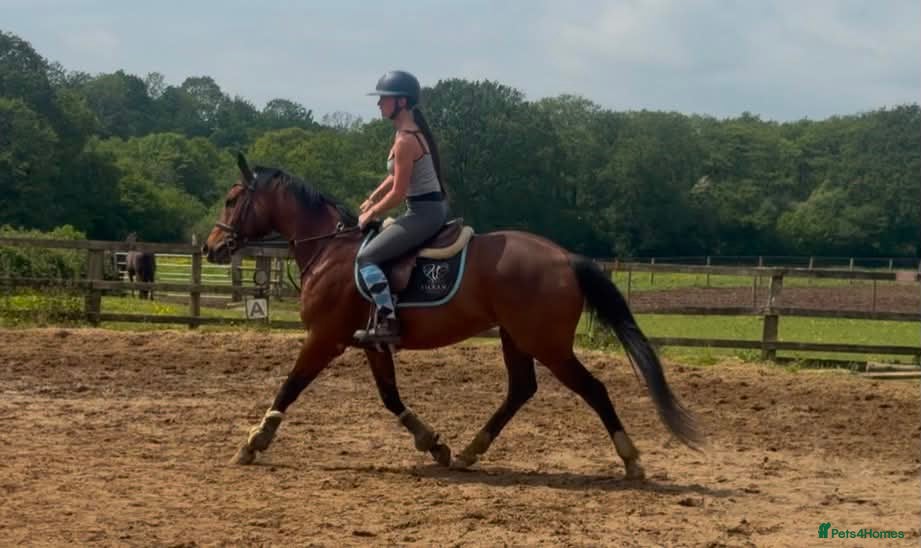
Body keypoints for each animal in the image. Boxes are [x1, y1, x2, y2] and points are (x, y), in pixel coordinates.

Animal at [202, 153, 703, 479]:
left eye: (230, 199)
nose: (211, 247)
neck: (332, 250)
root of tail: (565, 258)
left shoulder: (325, 337)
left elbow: (290, 386)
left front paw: (253, 442)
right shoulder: (371, 341)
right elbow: (390, 397)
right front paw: (434, 445)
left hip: (547, 344)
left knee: (592, 389)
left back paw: (631, 459)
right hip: (515, 338)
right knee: (521, 390)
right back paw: (468, 451)